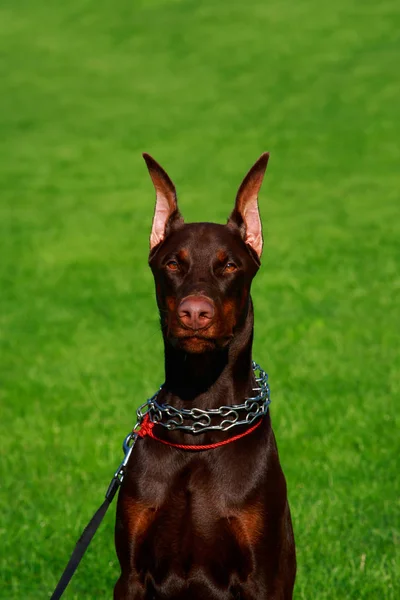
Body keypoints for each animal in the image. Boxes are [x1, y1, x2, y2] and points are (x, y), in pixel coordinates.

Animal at [114, 155, 296, 600]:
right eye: (173, 263)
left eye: (229, 264)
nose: (195, 313)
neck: (200, 417)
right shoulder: (130, 575)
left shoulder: (260, 579)